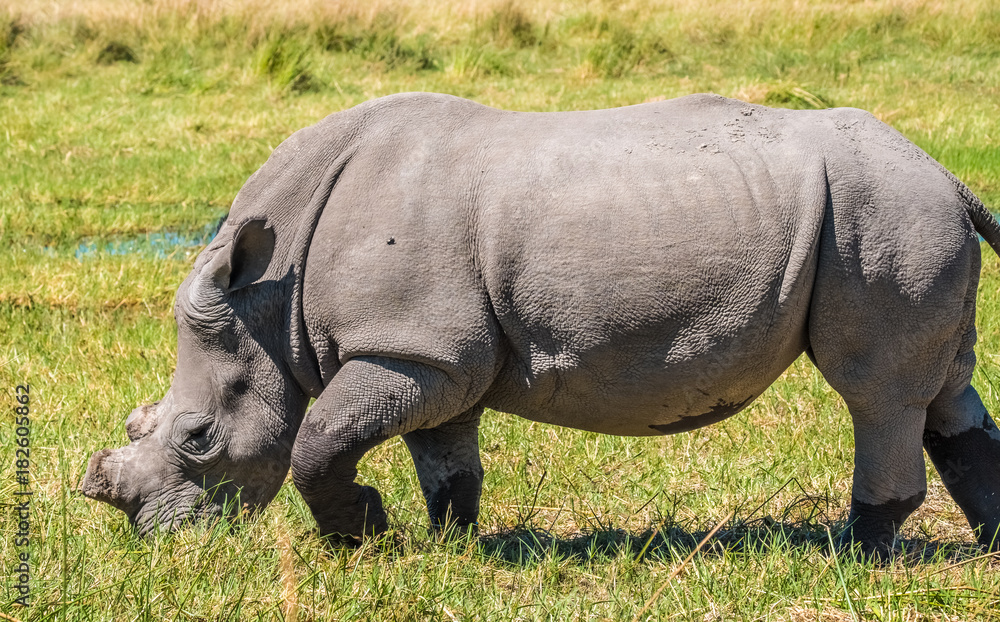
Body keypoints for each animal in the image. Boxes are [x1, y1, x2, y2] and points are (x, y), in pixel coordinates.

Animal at [81, 92, 1000, 558]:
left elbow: (319, 441)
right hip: (899, 213)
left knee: (877, 392)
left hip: (880, 213)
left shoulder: (410, 348)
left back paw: (859, 552)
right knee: (945, 393)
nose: (161, 542)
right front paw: (449, 548)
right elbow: (446, 460)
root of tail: (948, 175)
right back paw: (987, 545)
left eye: (198, 437)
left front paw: (363, 539)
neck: (269, 300)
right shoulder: (435, 354)